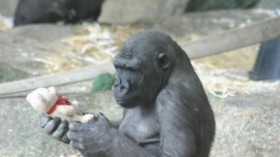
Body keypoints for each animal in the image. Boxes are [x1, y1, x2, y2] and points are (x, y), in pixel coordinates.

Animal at [41, 30, 217, 157]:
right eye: (118, 67)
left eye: (132, 70)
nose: (119, 85)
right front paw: (61, 127)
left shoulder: (173, 99)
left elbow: (173, 155)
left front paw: (99, 137)